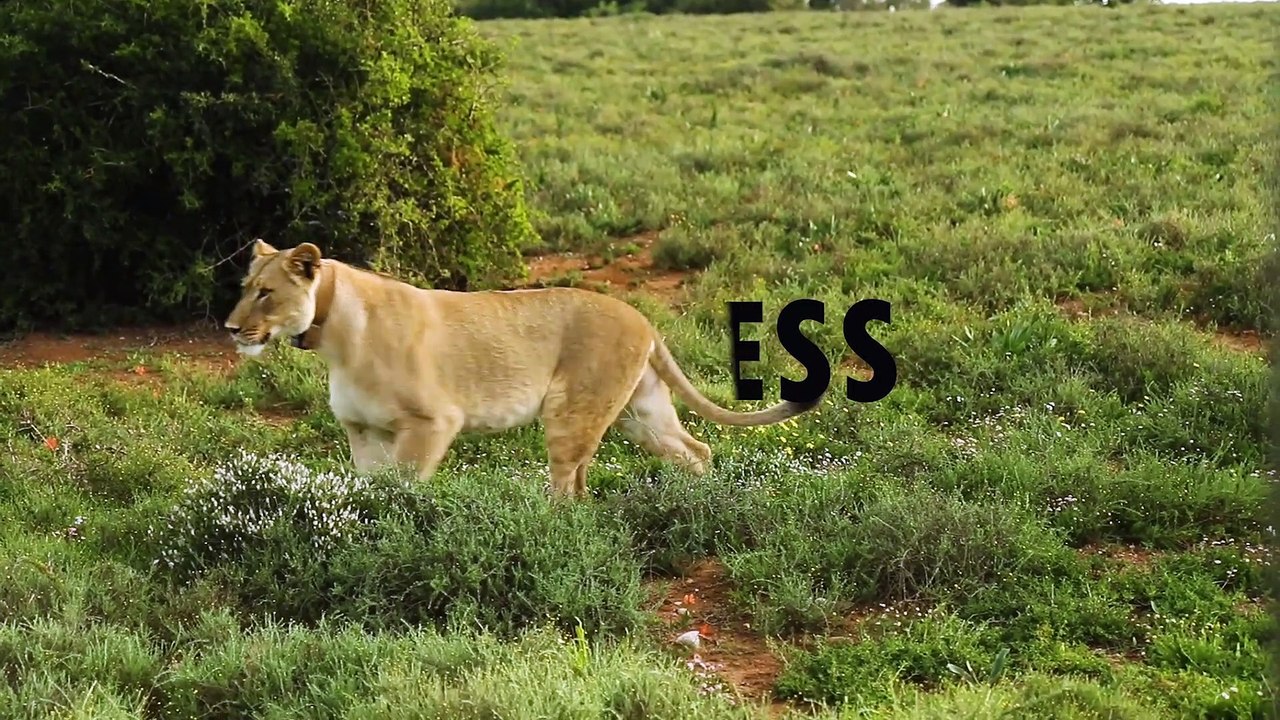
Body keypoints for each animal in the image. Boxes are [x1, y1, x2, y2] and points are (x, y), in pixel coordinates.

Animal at [223, 240, 823, 498]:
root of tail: (642, 318)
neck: (335, 340)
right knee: (694, 450)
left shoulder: (432, 422)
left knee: (567, 488)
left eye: (266, 293)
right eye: (245, 287)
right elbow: (369, 488)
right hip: (640, 411)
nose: (230, 328)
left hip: (569, 411)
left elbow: (406, 486)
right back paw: (701, 504)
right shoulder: (362, 430)